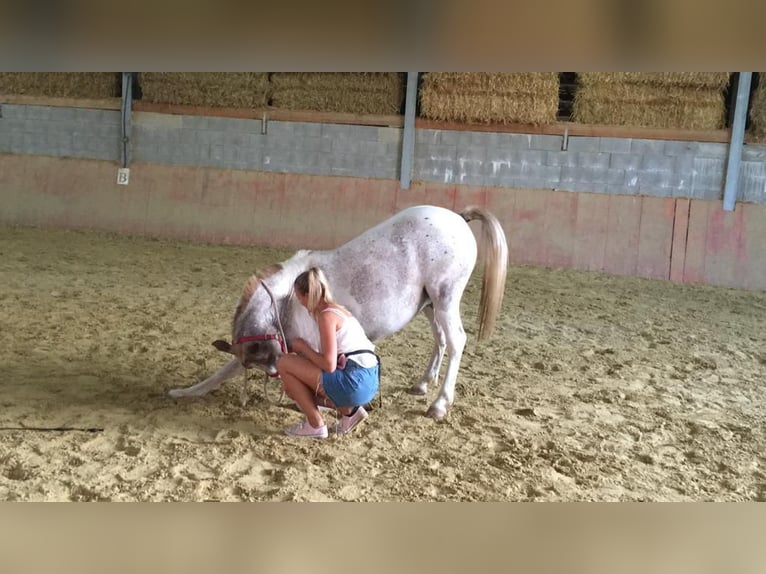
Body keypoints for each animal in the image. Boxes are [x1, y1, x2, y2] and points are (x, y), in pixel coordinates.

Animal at [172, 205, 512, 420]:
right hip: (431, 306)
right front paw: (185, 391)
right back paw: (422, 384)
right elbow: (223, 371)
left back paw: (440, 404)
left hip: (445, 297)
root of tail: (459, 217)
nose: (273, 374)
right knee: (440, 340)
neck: (286, 298)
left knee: (455, 341)